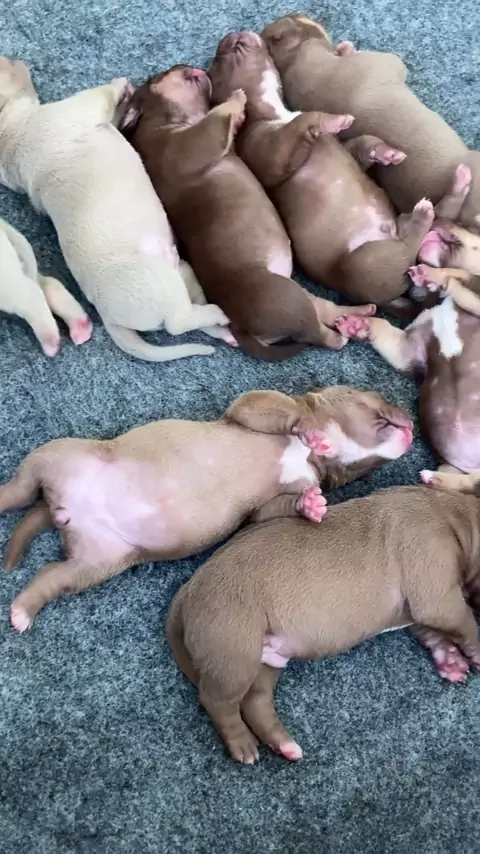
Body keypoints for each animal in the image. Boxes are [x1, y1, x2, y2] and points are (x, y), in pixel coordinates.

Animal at [0, 385, 412, 631]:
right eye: (375, 396)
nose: (409, 419)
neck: (309, 456)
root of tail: (60, 510)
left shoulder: (270, 501)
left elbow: (275, 508)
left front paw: (311, 505)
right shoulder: (252, 408)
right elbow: (279, 410)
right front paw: (311, 428)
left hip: (96, 562)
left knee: (53, 574)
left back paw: (22, 611)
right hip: (53, 456)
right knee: (17, 491)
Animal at [119, 65, 376, 359]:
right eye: (159, 76)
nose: (181, 65)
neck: (162, 118)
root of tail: (240, 327)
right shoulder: (191, 144)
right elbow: (217, 116)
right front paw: (236, 97)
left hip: (298, 295)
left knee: (326, 310)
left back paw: (356, 315)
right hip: (287, 298)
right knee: (318, 335)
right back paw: (341, 334)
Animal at [167, 484, 480, 763]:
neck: (457, 515)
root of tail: (187, 591)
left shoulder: (418, 612)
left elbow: (433, 631)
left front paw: (450, 659)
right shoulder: (436, 594)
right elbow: (465, 621)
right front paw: (475, 650)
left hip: (264, 658)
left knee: (255, 700)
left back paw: (284, 745)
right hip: (234, 649)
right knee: (217, 701)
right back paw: (241, 743)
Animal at [260, 14, 480, 232]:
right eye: (295, 19)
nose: (298, 12)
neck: (294, 62)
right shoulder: (385, 61)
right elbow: (394, 61)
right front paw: (347, 48)